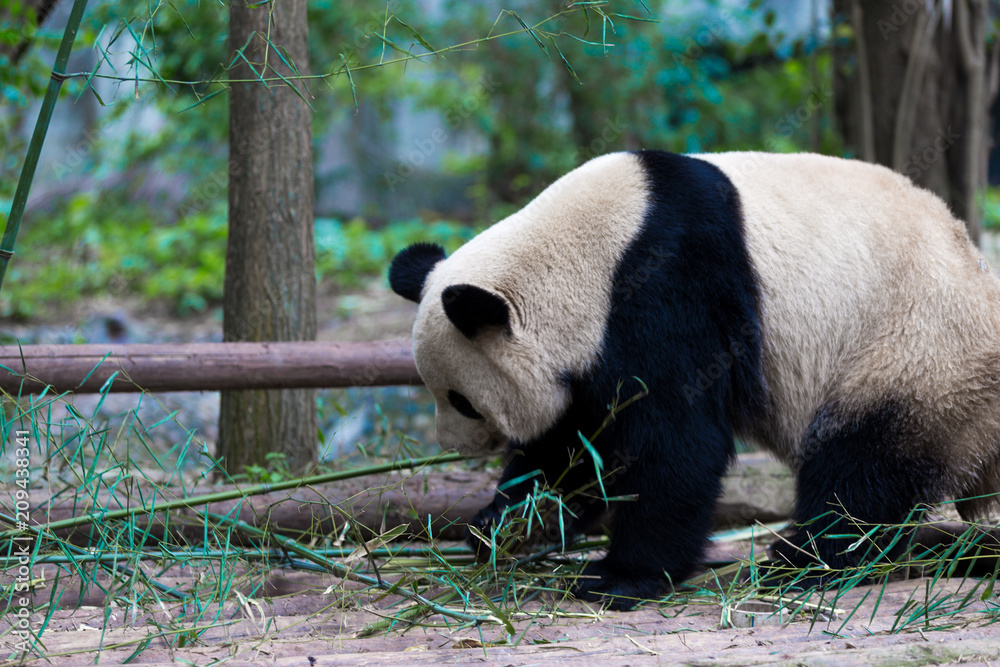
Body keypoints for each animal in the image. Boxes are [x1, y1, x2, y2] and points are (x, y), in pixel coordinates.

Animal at [386, 151, 1000, 612]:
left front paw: (618, 578)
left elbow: (675, 443)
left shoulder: (669, 284)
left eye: (462, 401)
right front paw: (508, 525)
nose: (452, 447)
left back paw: (801, 562)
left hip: (915, 351)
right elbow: (579, 447)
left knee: (861, 469)